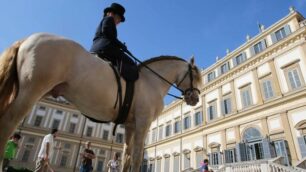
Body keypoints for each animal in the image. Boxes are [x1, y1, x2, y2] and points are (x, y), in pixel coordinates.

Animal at [0, 33, 202, 171]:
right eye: (194, 75)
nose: (195, 98)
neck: (151, 80)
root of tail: (27, 39)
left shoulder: (130, 125)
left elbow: (126, 156)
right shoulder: (143, 123)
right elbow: (137, 157)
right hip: (31, 91)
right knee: (8, 123)